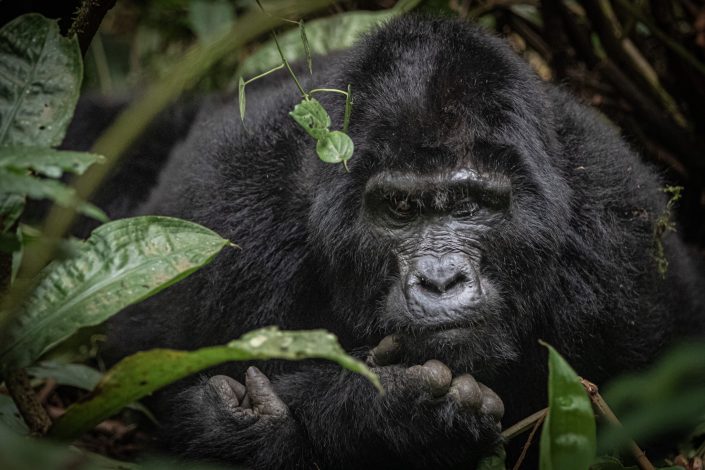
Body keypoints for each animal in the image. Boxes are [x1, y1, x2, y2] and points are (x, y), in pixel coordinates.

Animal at [89, 13, 704, 470]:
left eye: (469, 205)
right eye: (401, 209)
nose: (440, 280)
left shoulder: (624, 252)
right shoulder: (234, 230)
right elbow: (176, 401)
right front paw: (386, 411)